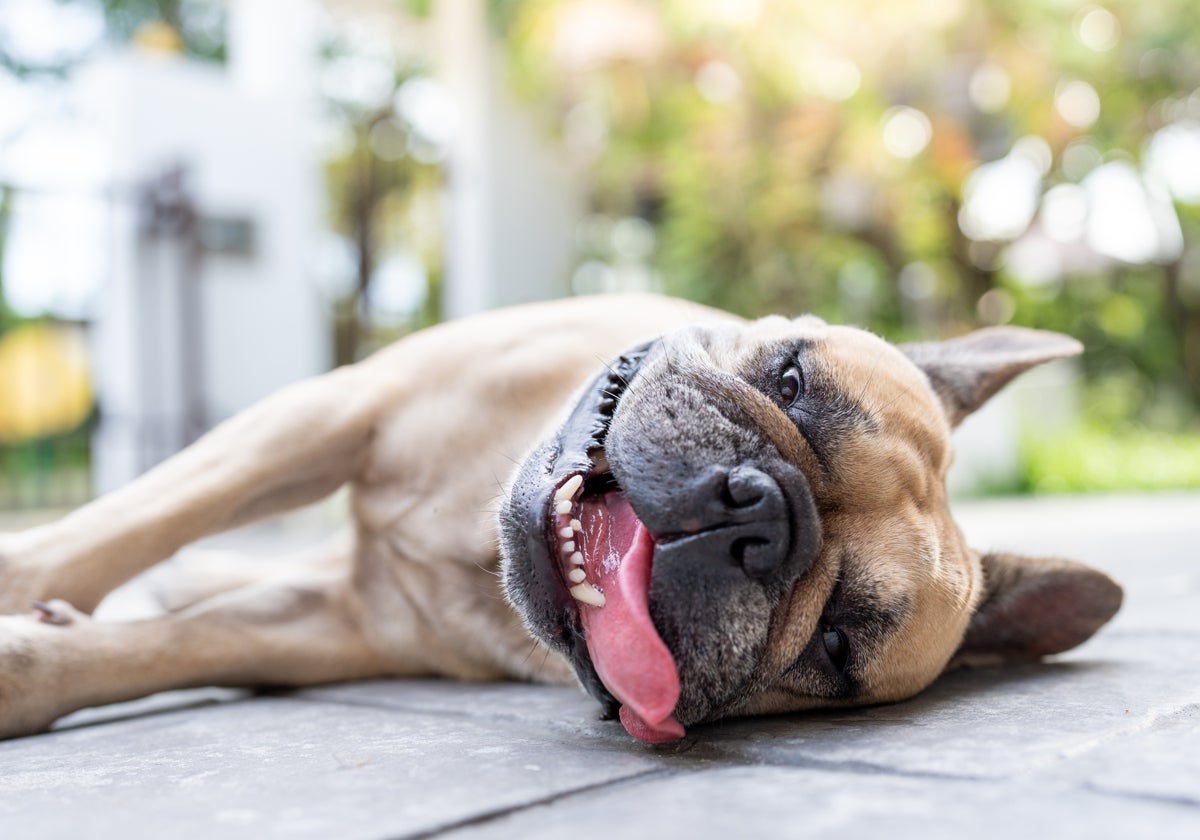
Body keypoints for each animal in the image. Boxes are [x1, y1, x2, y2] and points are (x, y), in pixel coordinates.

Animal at [0, 295, 1123, 739]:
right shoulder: (338, 409)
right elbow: (130, 522)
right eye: (791, 379)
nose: (760, 511)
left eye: (837, 644)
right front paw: (33, 589)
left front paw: (41, 660)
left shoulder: (332, 629)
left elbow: (174, 649)